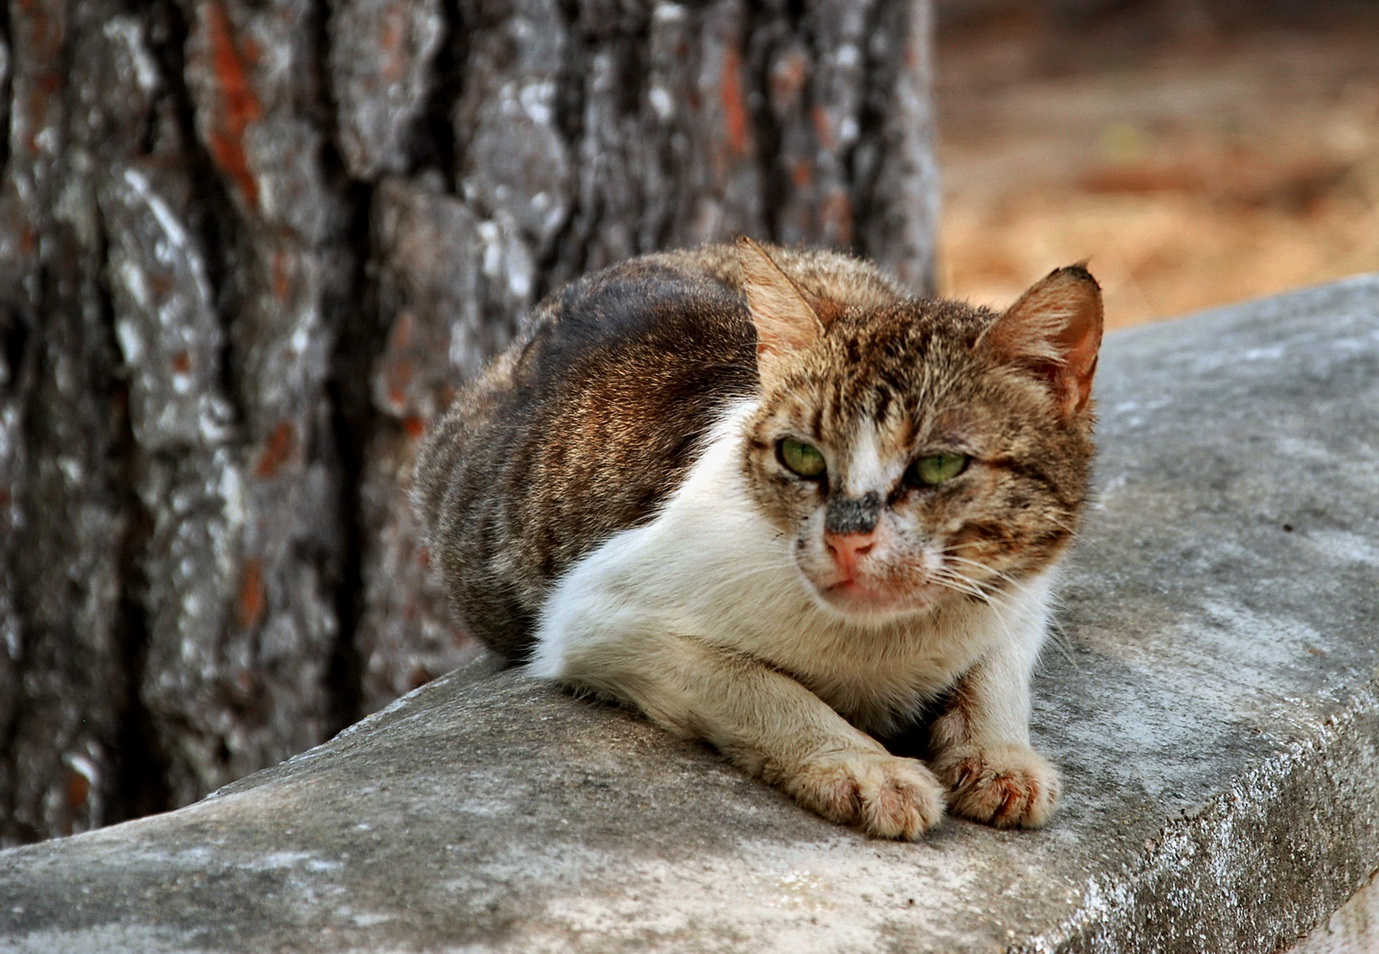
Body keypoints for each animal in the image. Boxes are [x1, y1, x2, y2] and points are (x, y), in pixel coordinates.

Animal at [408, 239, 1097, 843]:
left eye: (938, 466)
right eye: (801, 456)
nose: (847, 539)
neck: (889, 641)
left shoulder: (1025, 588)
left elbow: (999, 665)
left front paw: (1000, 755)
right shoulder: (592, 615)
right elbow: (755, 685)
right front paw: (864, 766)